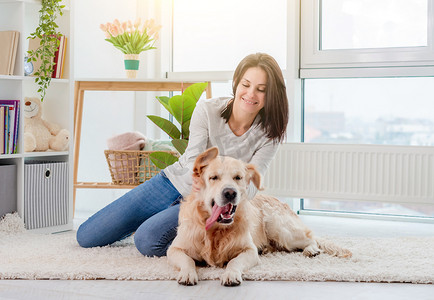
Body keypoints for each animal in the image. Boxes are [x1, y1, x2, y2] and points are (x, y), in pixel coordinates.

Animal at [167, 148, 352, 286]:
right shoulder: (174, 249)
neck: (217, 230)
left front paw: (231, 274)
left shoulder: (249, 250)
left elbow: (235, 261)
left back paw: (311, 250)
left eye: (238, 177)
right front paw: (188, 273)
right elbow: (187, 260)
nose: (230, 193)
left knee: (311, 238)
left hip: (279, 228)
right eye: (213, 177)